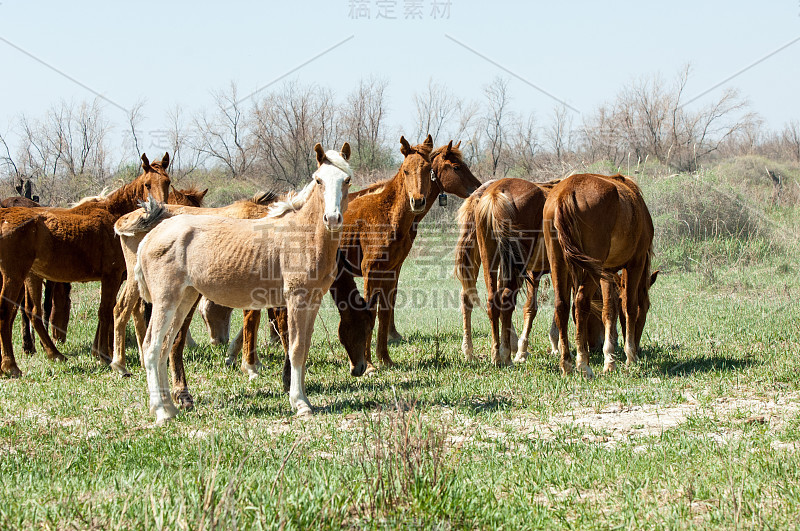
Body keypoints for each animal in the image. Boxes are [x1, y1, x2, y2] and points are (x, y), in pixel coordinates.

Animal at [0, 154, 170, 378]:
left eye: (167, 182)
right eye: (147, 184)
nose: (160, 209)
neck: (114, 215)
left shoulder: (117, 278)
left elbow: (109, 311)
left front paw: (99, 352)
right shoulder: (111, 276)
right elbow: (106, 311)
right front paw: (105, 355)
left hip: (30, 276)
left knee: (33, 311)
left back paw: (54, 354)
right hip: (14, 275)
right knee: (7, 310)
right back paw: (10, 365)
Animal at [137, 143, 362, 426]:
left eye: (347, 179)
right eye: (319, 180)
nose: (332, 218)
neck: (302, 235)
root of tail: (150, 236)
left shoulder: (312, 301)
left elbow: (303, 349)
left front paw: (302, 399)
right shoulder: (295, 300)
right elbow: (296, 348)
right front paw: (300, 403)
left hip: (183, 299)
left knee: (165, 347)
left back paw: (170, 408)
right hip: (165, 301)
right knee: (151, 347)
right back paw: (160, 411)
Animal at [544, 172, 656, 376]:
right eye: (647, 308)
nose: (638, 346)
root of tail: (566, 192)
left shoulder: (607, 272)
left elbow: (609, 311)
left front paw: (609, 360)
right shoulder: (635, 263)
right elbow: (629, 306)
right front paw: (630, 356)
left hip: (559, 263)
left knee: (561, 305)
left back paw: (567, 363)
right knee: (581, 302)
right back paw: (583, 363)